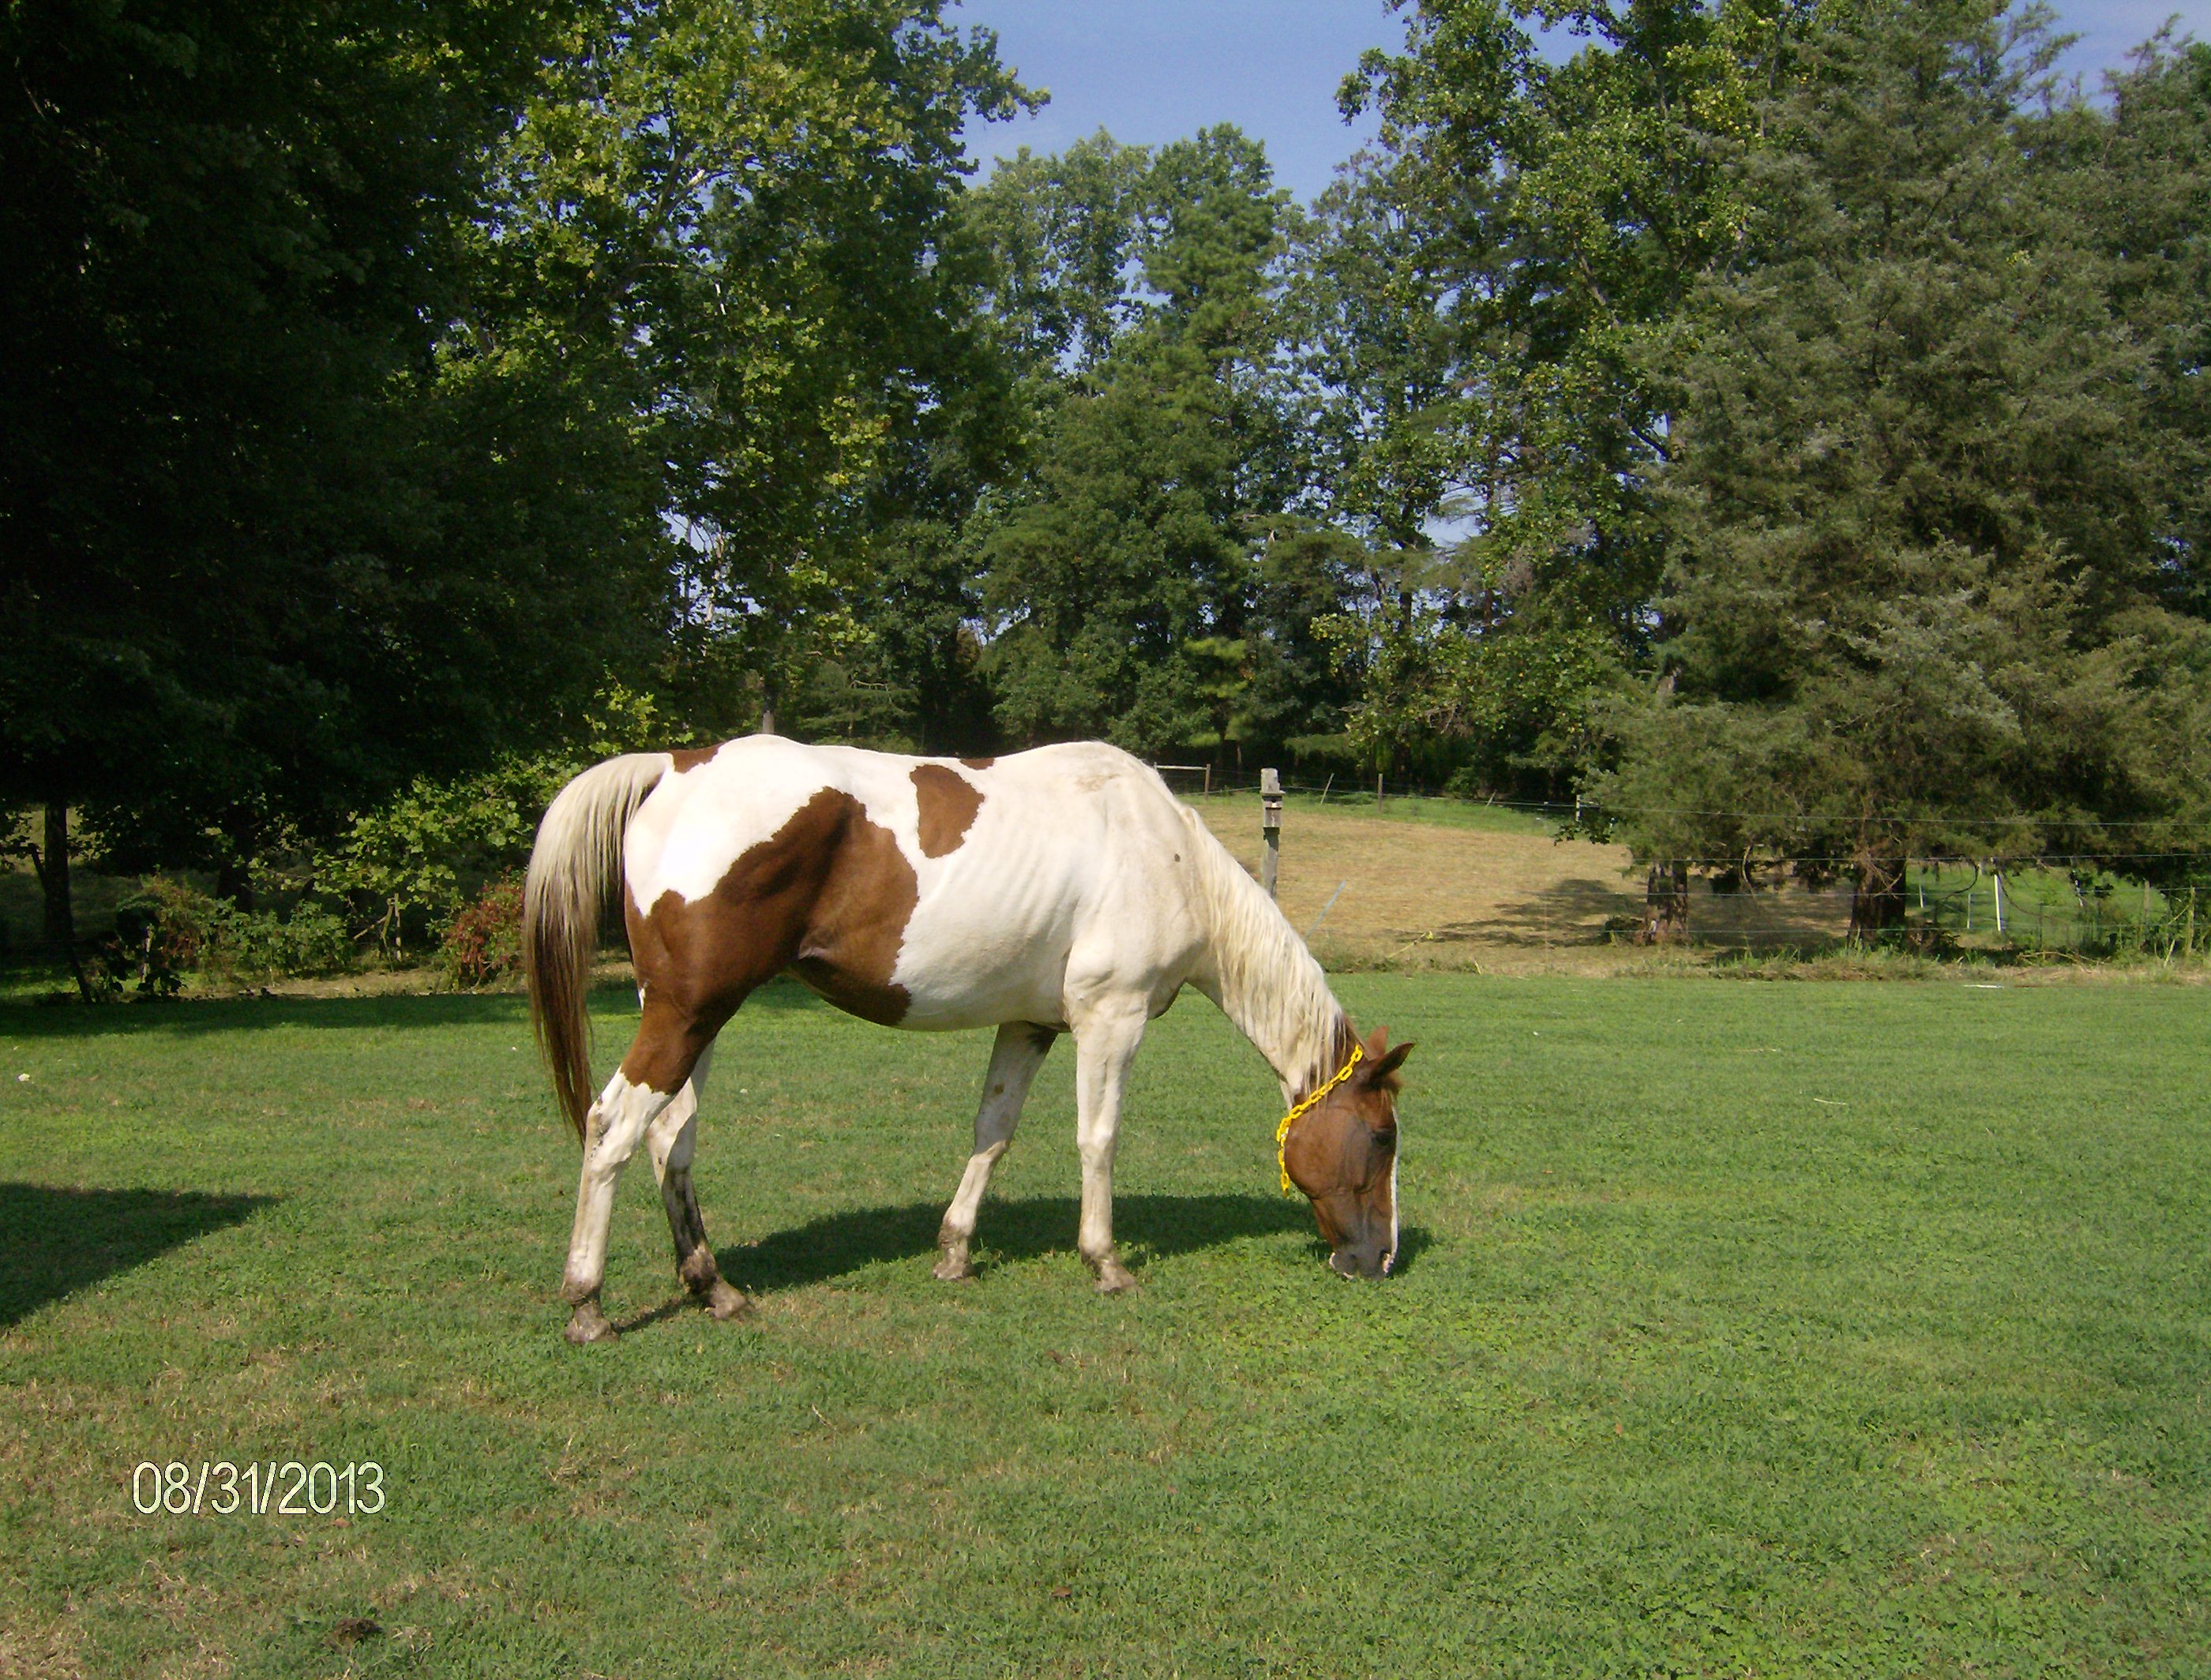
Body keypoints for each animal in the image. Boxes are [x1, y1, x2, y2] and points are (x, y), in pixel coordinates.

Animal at [522, 736, 1411, 1344]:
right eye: (1379, 1138)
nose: (1379, 1260)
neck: (1166, 854)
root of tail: (675, 767)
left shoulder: (1029, 1025)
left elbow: (994, 1132)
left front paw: (953, 1251)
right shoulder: (1110, 1020)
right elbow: (1098, 1139)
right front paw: (1105, 1262)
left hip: (694, 1017)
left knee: (670, 1139)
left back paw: (713, 1288)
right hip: (686, 1014)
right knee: (612, 1129)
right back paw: (587, 1303)